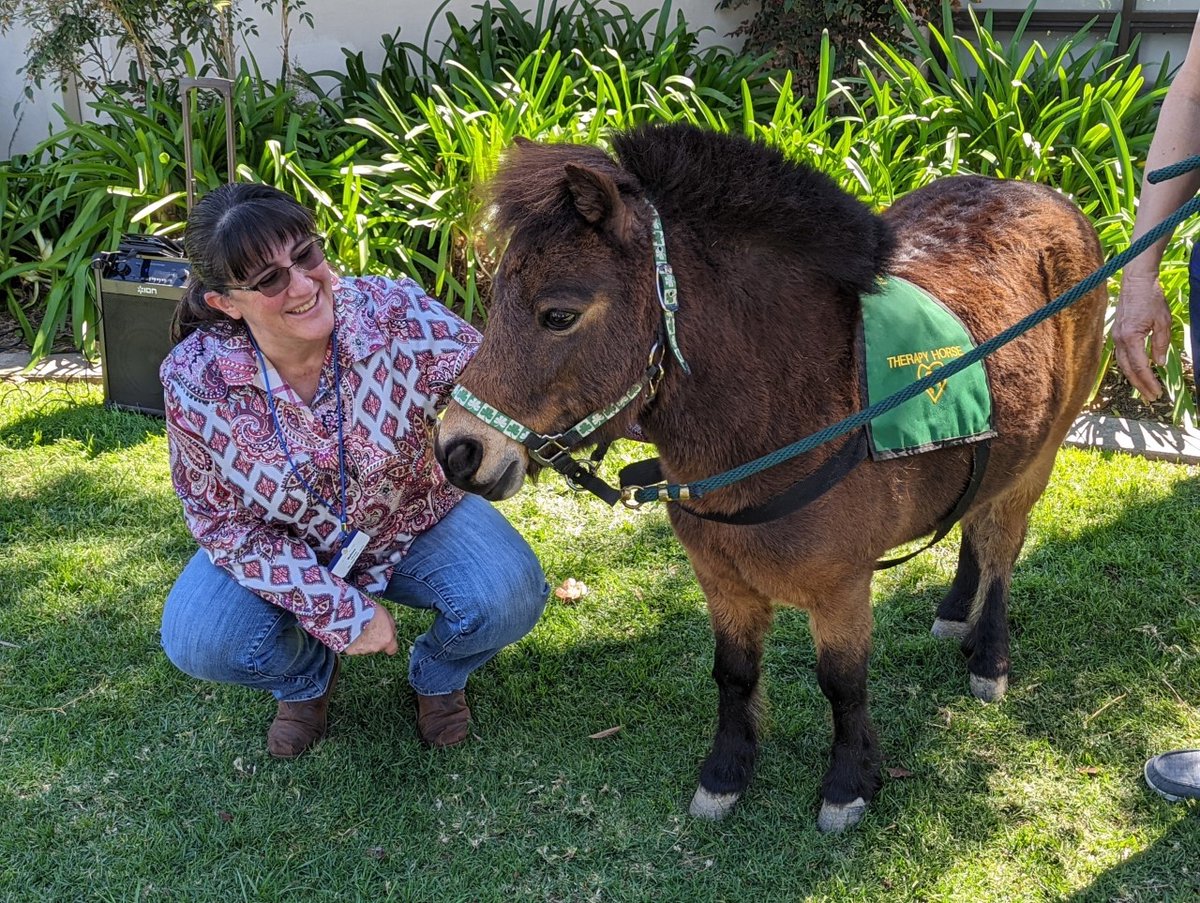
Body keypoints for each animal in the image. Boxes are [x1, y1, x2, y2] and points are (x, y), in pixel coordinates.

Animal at [433, 123, 1107, 832]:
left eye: (558, 314)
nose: (459, 451)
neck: (791, 410)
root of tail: (1046, 194)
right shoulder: (721, 579)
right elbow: (732, 673)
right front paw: (726, 774)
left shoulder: (841, 588)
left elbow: (843, 684)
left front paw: (848, 783)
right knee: (975, 524)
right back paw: (956, 612)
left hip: (1040, 458)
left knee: (1002, 549)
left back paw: (990, 655)